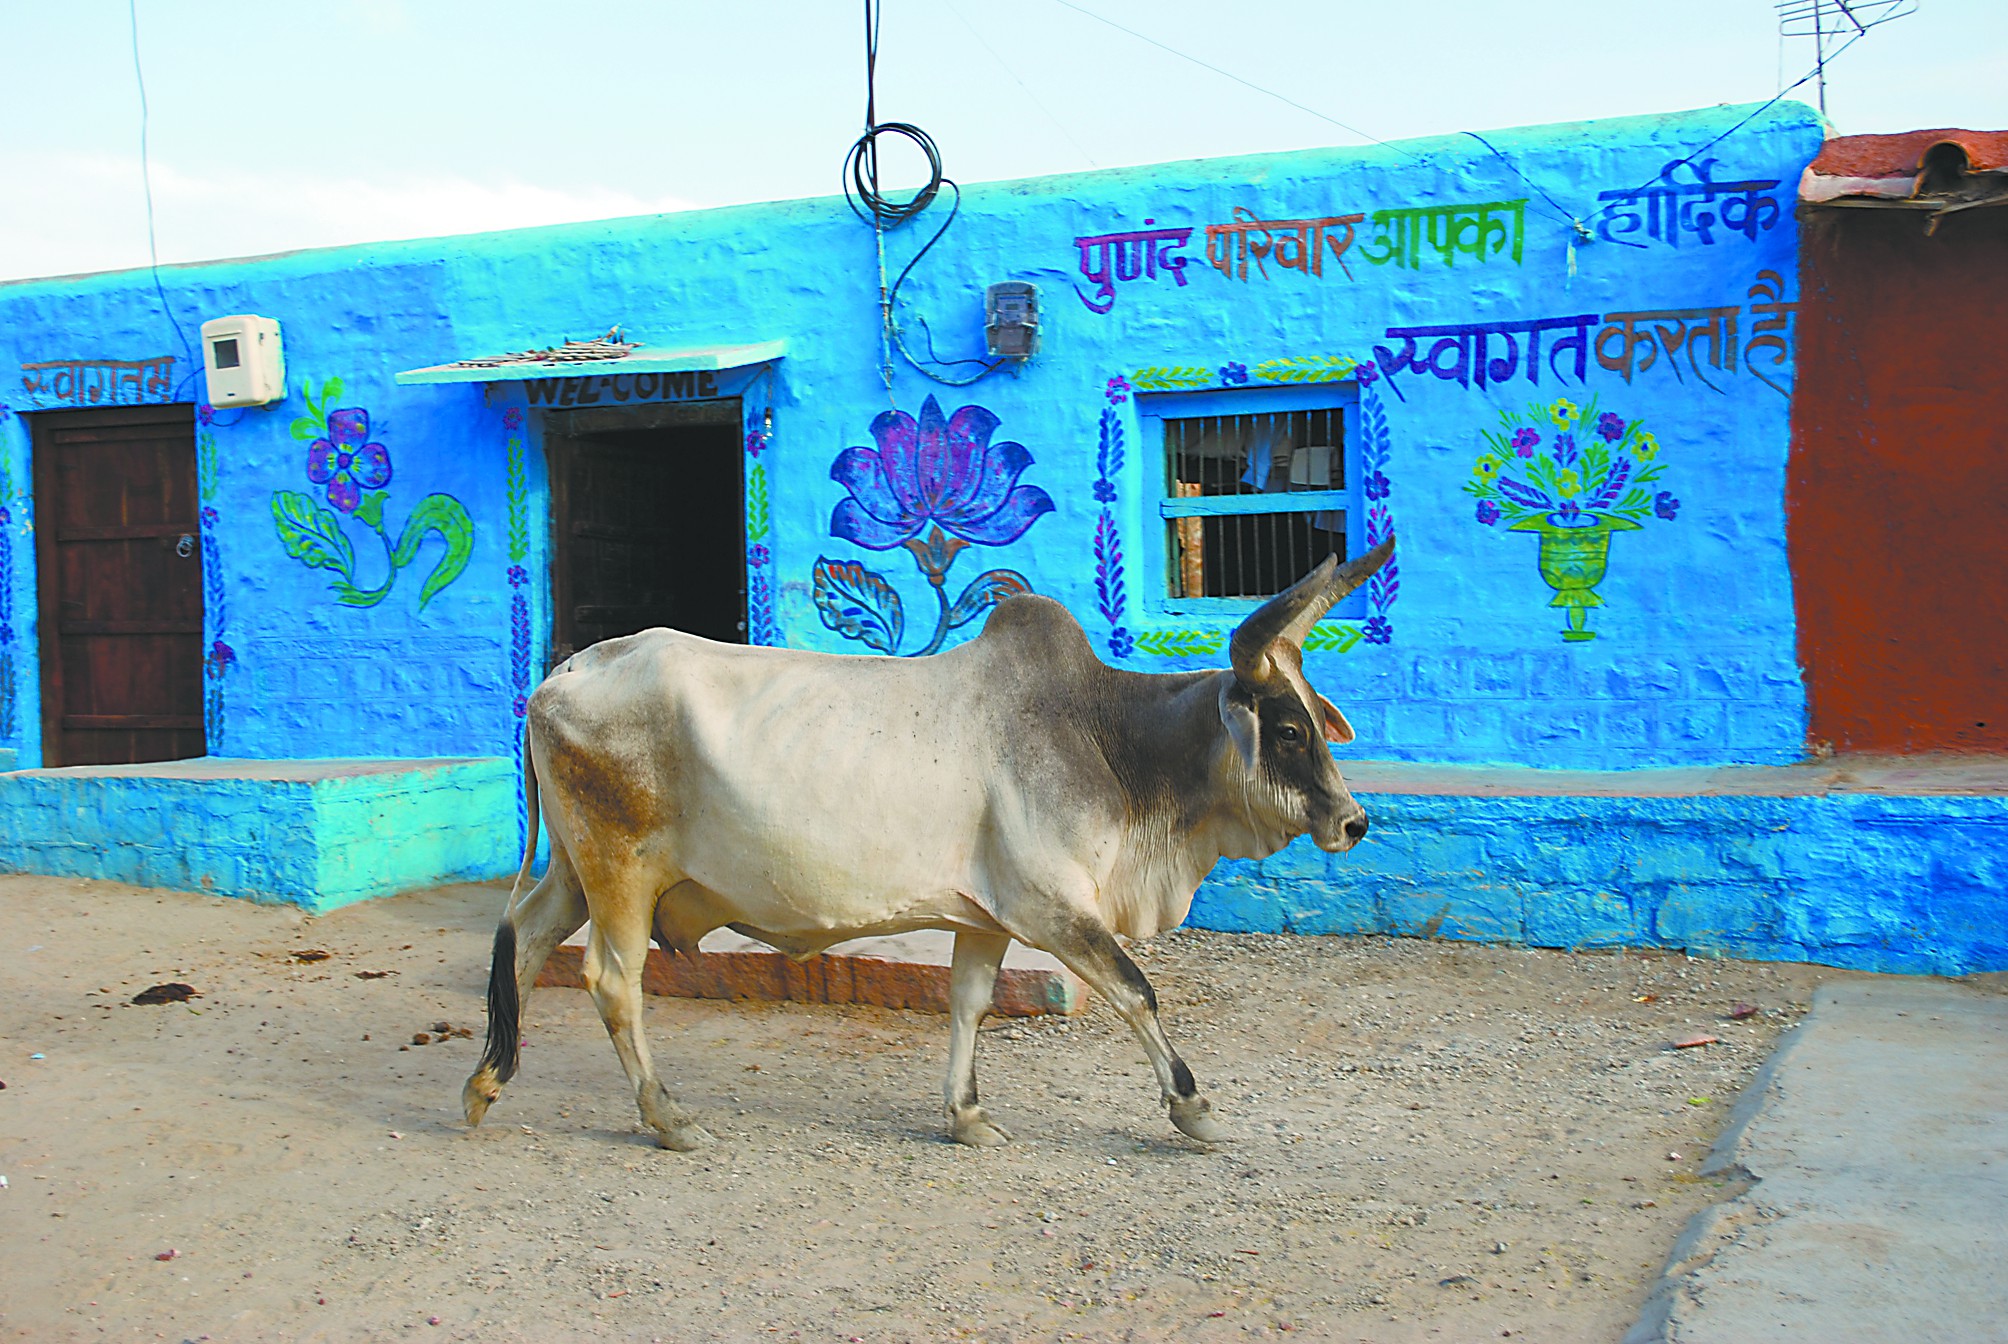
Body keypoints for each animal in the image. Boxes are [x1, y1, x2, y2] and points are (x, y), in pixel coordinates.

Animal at [461, 538, 1389, 1149]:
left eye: (1316, 717)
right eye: (1290, 730)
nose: (1353, 822)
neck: (1106, 738)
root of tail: (561, 675)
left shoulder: (987, 917)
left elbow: (969, 1004)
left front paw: (967, 1115)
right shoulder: (1055, 909)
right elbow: (1137, 993)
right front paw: (1191, 1108)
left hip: (575, 872)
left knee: (526, 943)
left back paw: (485, 1084)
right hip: (619, 873)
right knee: (612, 981)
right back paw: (665, 1116)